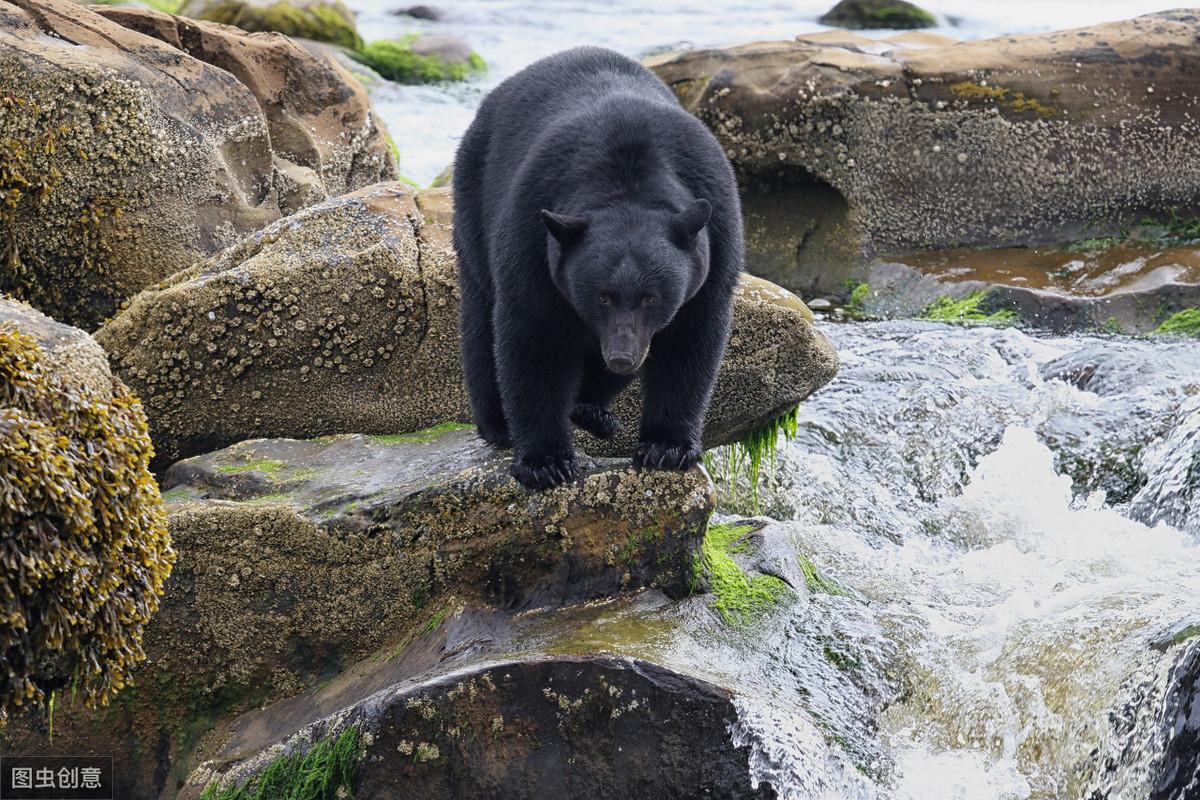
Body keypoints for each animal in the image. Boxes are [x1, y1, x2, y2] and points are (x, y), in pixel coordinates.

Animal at [453, 48, 739, 494]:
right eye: (602, 295)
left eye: (651, 297)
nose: (621, 356)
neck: (628, 182)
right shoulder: (531, 237)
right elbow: (533, 340)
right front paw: (545, 461)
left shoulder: (716, 242)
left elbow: (691, 342)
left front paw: (667, 447)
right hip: (473, 201)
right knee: (481, 321)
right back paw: (498, 423)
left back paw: (592, 411)